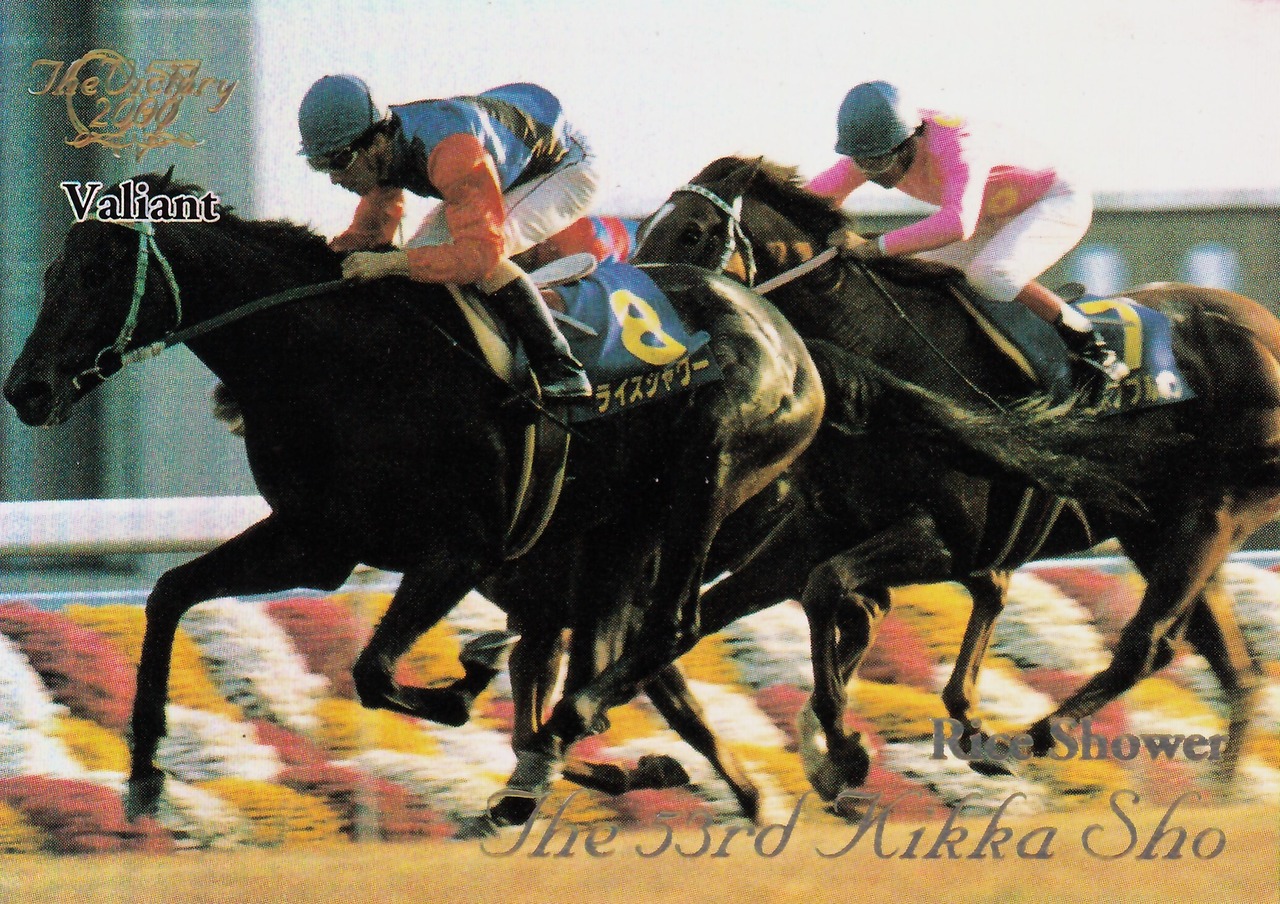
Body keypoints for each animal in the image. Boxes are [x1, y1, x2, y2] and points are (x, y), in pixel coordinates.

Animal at [3, 172, 825, 821]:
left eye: (100, 272)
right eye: (52, 272)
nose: (26, 389)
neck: (336, 358)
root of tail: (776, 324)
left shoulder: (460, 550)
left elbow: (373, 673)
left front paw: (467, 684)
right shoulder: (315, 541)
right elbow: (169, 592)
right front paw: (144, 773)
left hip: (707, 476)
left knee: (669, 629)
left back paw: (576, 748)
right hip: (625, 532)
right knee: (618, 660)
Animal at [632, 155, 1280, 798]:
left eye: (690, 232)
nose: (639, 323)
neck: (880, 358)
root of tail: (1263, 327)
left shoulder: (951, 539)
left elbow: (832, 587)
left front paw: (840, 747)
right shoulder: (818, 529)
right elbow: (746, 606)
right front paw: (826, 750)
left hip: (1212, 515)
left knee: (1149, 645)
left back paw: (1026, 743)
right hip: (1155, 529)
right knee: (1228, 661)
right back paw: (1222, 790)